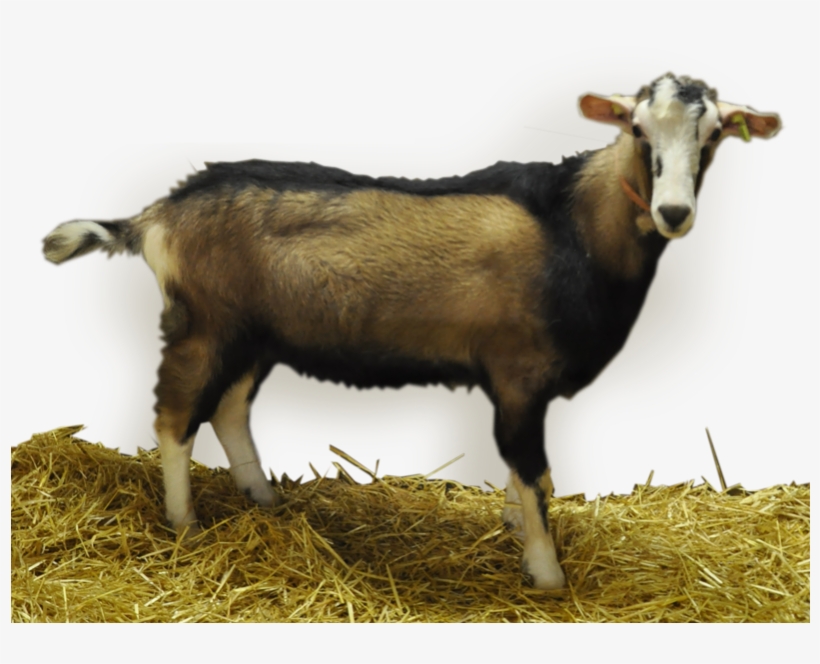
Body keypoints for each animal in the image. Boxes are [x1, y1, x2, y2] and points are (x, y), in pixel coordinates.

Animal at [43, 74, 780, 589]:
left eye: (715, 134)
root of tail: (160, 212)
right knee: (174, 416)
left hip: (255, 334)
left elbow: (529, 474)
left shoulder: (522, 384)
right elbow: (532, 470)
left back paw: (265, 500)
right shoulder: (518, 374)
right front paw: (546, 575)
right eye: (637, 128)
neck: (570, 228)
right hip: (205, 323)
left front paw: (513, 529)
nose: (674, 211)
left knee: (227, 410)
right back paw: (184, 525)